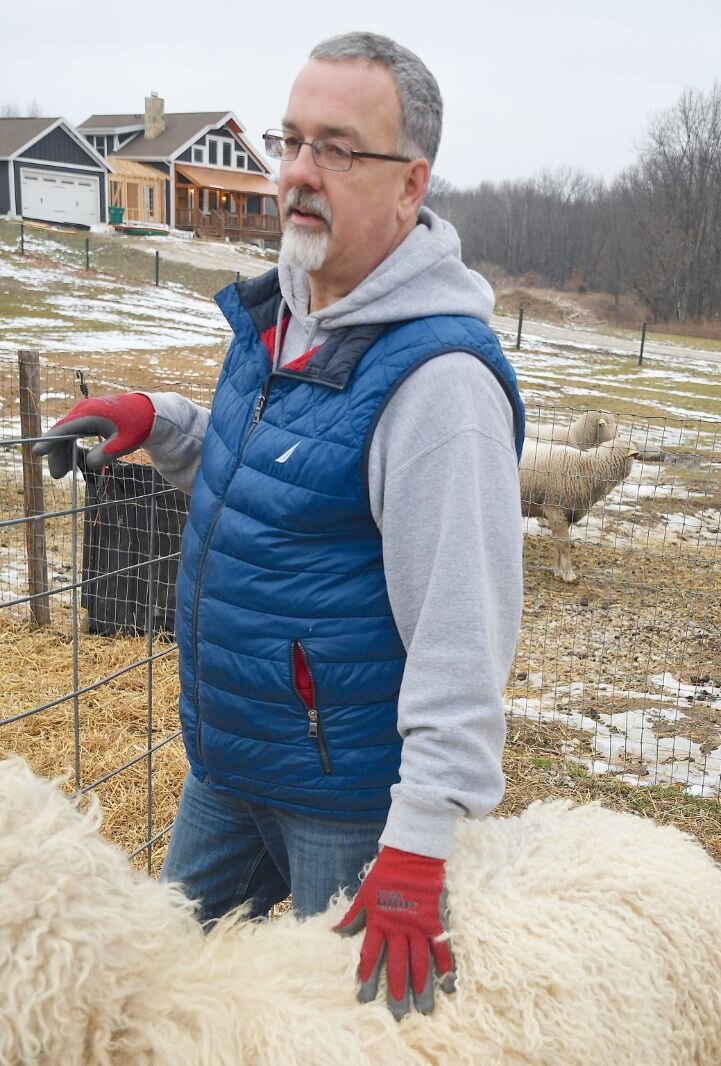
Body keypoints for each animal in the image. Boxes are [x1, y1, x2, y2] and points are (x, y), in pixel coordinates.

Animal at [518, 434, 635, 584]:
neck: (590, 467)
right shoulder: (556, 510)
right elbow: (564, 544)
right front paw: (569, 574)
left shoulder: (565, 514)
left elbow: (558, 543)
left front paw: (557, 571)